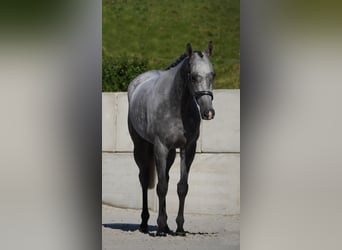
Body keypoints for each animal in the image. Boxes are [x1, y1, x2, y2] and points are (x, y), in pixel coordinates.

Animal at [128, 42, 216, 235]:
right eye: (193, 76)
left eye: (212, 74)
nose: (208, 112)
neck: (176, 105)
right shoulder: (160, 147)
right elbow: (161, 187)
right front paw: (160, 228)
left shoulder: (187, 149)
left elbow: (181, 187)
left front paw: (179, 227)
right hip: (141, 147)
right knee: (144, 179)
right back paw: (145, 223)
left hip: (170, 154)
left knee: (166, 178)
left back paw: (167, 226)